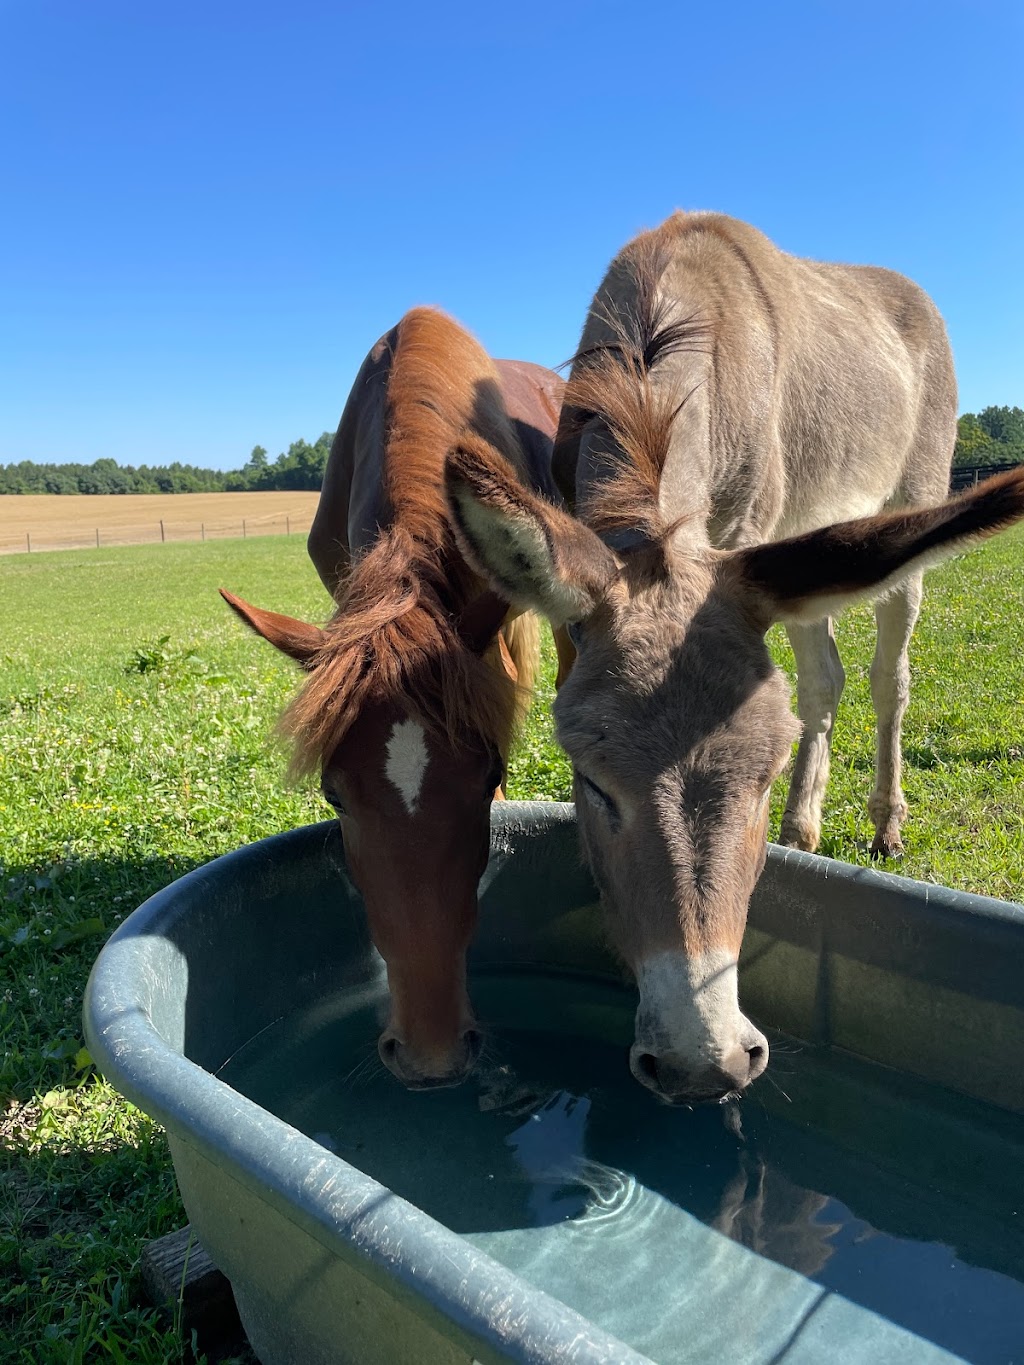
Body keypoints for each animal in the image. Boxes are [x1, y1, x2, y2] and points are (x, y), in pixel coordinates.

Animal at [447, 215, 1024, 1108]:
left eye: (761, 775)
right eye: (592, 785)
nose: (703, 1061)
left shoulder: (749, 533)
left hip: (904, 509)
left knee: (887, 679)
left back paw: (883, 821)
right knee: (825, 677)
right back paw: (805, 827)